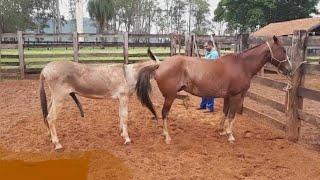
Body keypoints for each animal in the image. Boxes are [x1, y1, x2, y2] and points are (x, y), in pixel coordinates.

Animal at [135, 35, 292, 144]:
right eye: (283, 50)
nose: (290, 70)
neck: (242, 65)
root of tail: (160, 65)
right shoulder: (236, 96)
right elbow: (232, 115)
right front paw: (230, 135)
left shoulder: (228, 96)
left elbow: (225, 112)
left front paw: (221, 131)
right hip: (169, 96)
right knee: (164, 113)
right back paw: (167, 136)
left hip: (172, 93)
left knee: (175, 101)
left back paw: (185, 102)